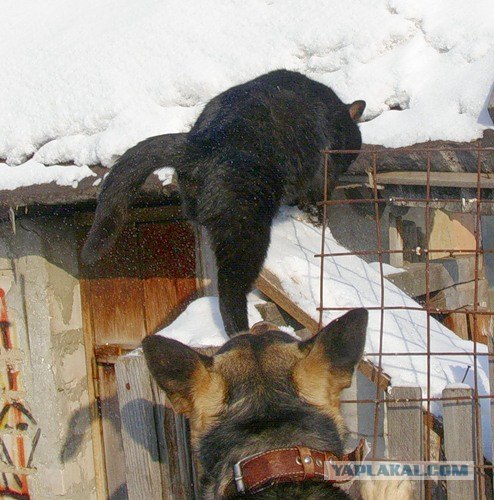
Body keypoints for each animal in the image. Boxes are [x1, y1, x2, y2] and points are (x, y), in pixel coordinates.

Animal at [82, 70, 366, 336]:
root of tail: (203, 142)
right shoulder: (323, 176)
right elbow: (316, 201)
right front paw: (316, 218)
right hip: (245, 229)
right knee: (230, 293)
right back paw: (244, 331)